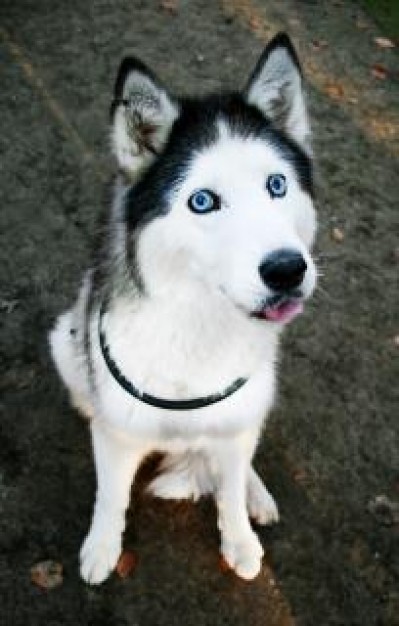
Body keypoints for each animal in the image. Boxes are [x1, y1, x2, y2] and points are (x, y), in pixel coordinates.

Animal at [50, 33, 318, 580]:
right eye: (202, 201)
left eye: (277, 185)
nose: (287, 270)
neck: (198, 325)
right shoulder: (119, 435)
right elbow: (111, 495)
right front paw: (102, 547)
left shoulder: (234, 423)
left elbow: (230, 490)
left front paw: (240, 539)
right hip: (63, 340)